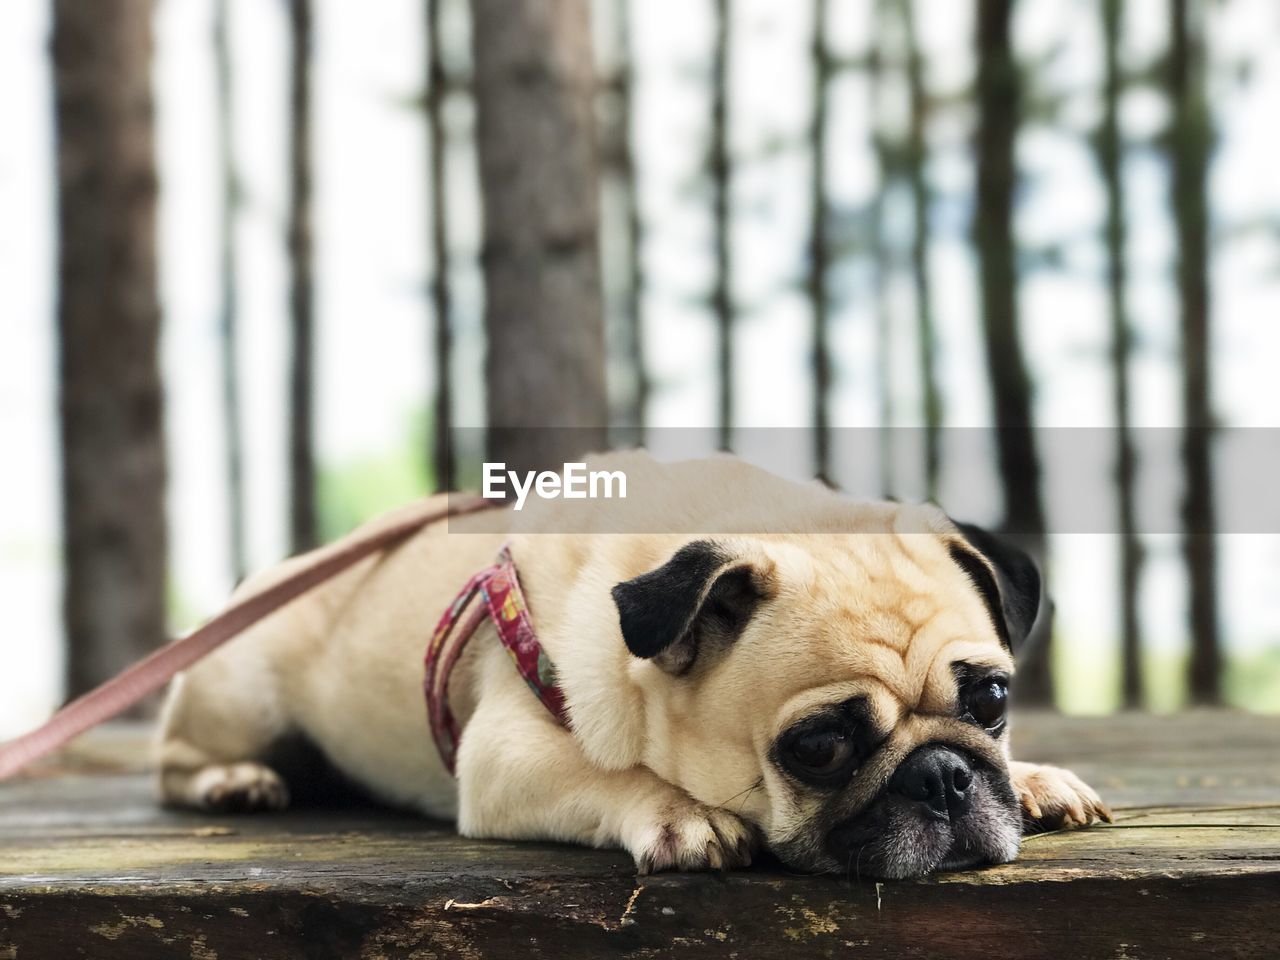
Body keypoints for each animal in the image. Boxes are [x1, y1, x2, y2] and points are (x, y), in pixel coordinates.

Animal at [154, 450, 1105, 880]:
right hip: (238, 690)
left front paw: (1033, 780)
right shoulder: (500, 756)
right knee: (174, 760)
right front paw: (683, 813)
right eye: (819, 748)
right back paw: (236, 781)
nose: (944, 776)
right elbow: (605, 772)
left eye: (992, 700)